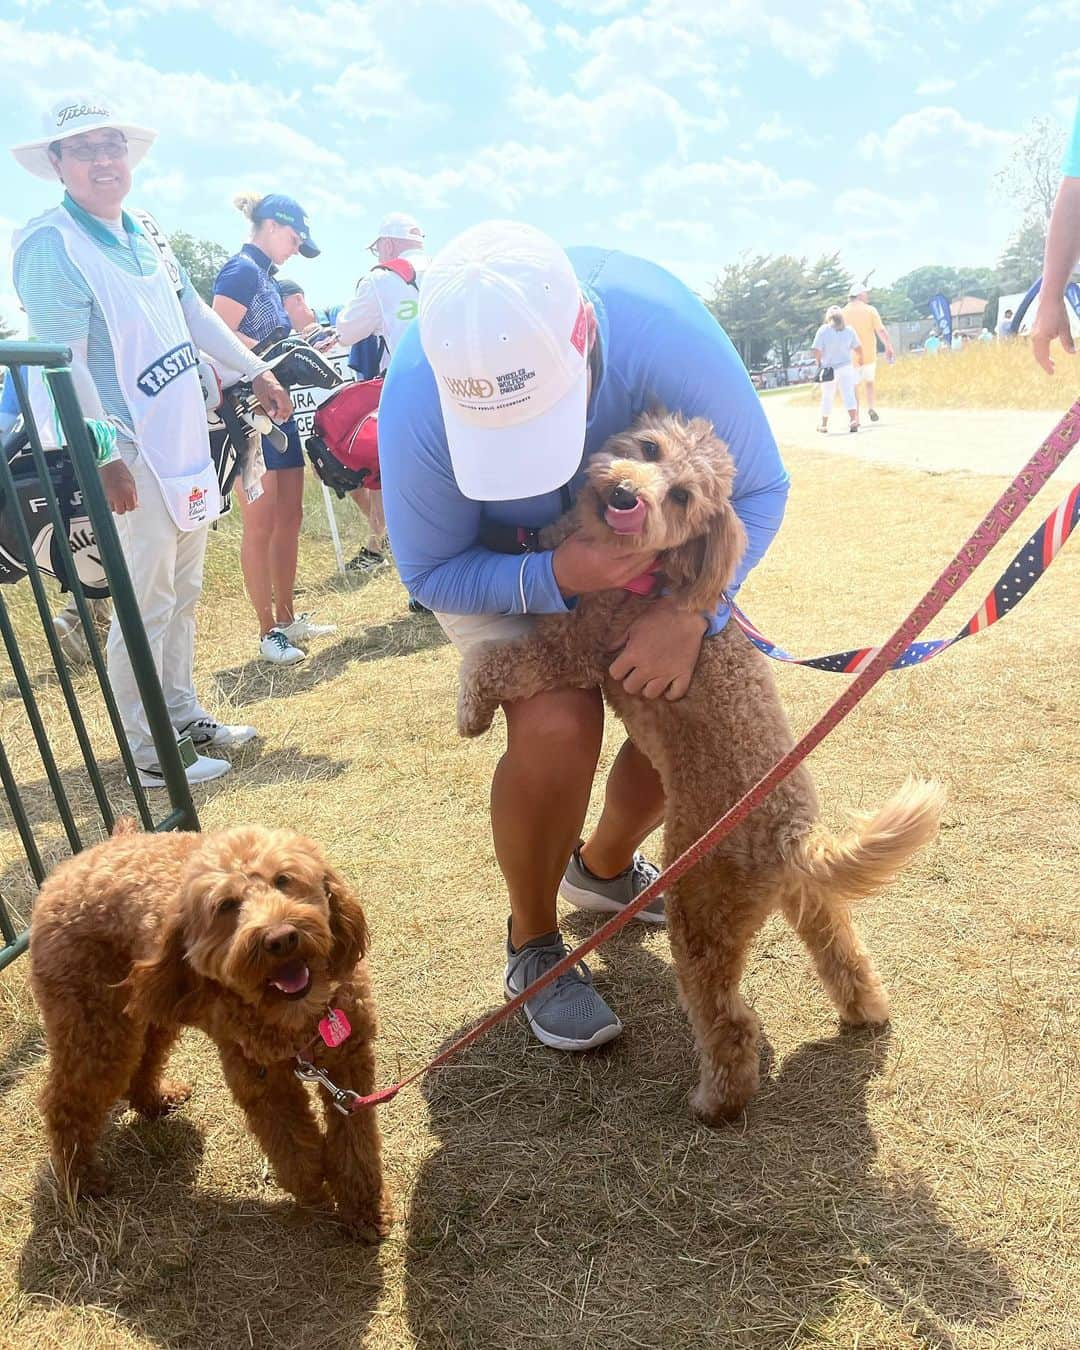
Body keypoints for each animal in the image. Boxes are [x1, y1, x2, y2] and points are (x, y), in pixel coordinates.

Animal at [28, 815, 391, 1236]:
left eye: (283, 880)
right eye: (227, 906)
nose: (281, 938)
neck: (297, 1017)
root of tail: (69, 866)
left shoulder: (349, 1063)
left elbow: (356, 1144)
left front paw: (364, 1211)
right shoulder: (258, 1077)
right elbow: (290, 1143)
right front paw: (312, 1180)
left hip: (149, 1010)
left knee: (143, 1060)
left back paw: (156, 1099)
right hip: (92, 1023)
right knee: (65, 1100)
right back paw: (82, 1178)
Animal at [456, 413, 945, 1128]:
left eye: (682, 498)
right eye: (648, 447)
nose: (625, 494)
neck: (650, 573)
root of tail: (790, 832)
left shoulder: (572, 647)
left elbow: (499, 659)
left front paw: (469, 709)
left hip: (702, 911)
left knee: (731, 1022)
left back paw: (716, 1102)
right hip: (806, 901)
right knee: (845, 954)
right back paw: (866, 1015)